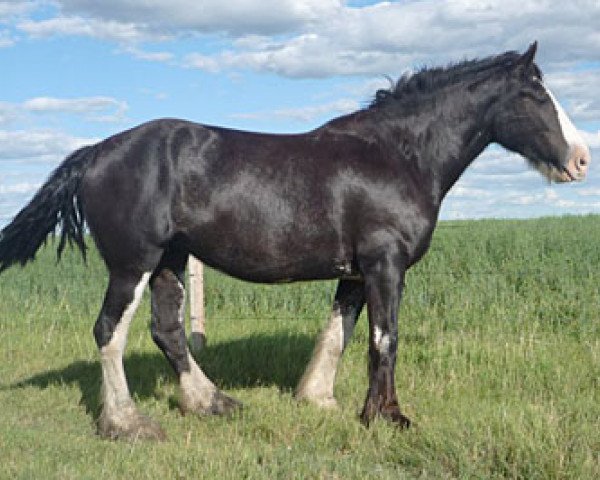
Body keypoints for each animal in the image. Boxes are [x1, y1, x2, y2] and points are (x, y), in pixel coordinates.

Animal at [0, 43, 592, 440]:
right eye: (535, 93)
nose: (582, 159)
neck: (397, 154)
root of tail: (96, 152)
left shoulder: (356, 271)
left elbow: (340, 332)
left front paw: (320, 400)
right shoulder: (385, 264)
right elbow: (385, 338)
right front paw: (388, 417)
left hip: (170, 259)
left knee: (167, 331)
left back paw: (211, 403)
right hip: (133, 262)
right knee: (109, 331)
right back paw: (126, 423)